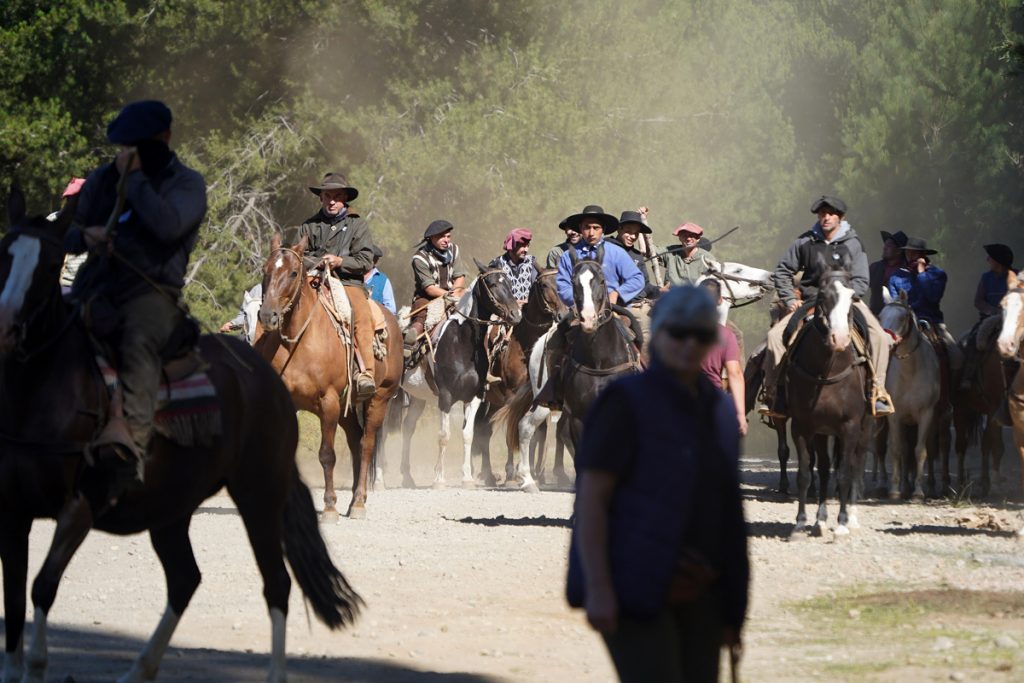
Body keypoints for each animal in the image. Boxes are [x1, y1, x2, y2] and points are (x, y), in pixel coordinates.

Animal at [0, 187, 360, 683]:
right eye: (4, 250)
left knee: (276, 581)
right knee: (186, 578)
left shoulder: (80, 506)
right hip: (171, 508)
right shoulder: (13, 515)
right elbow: (16, 596)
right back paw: (139, 668)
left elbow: (41, 586)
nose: (7, 325)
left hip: (258, 494)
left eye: (51, 259)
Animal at [253, 233, 401, 518]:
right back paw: (354, 497)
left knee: (366, 444)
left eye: (293, 272)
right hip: (348, 407)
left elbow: (326, 454)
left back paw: (359, 502)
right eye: (265, 270)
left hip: (380, 398)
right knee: (355, 441)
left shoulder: (329, 401)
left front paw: (330, 505)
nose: (267, 315)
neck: (299, 340)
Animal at [782, 259, 872, 536]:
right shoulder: (802, 427)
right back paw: (820, 519)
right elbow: (805, 473)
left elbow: (844, 473)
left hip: (864, 429)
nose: (839, 338)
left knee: (856, 464)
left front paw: (841, 523)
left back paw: (851, 517)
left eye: (853, 297)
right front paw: (801, 522)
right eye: (822, 295)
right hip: (823, 432)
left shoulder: (850, 427)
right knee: (822, 468)